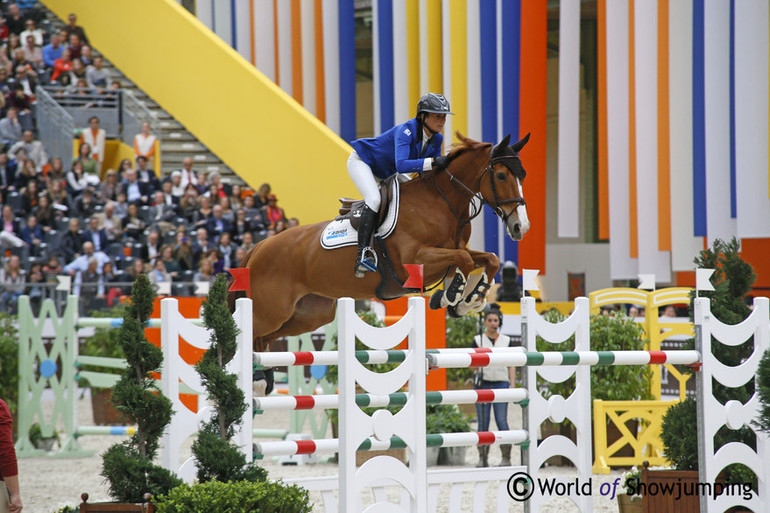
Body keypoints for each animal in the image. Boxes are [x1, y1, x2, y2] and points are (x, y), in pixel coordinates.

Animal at [232, 131, 528, 352]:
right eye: (501, 175)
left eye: (522, 176)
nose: (520, 227)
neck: (440, 202)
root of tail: (259, 247)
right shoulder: (415, 261)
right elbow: (464, 261)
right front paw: (449, 297)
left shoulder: (453, 250)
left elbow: (489, 259)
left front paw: (470, 301)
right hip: (270, 311)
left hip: (308, 314)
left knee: (263, 340)